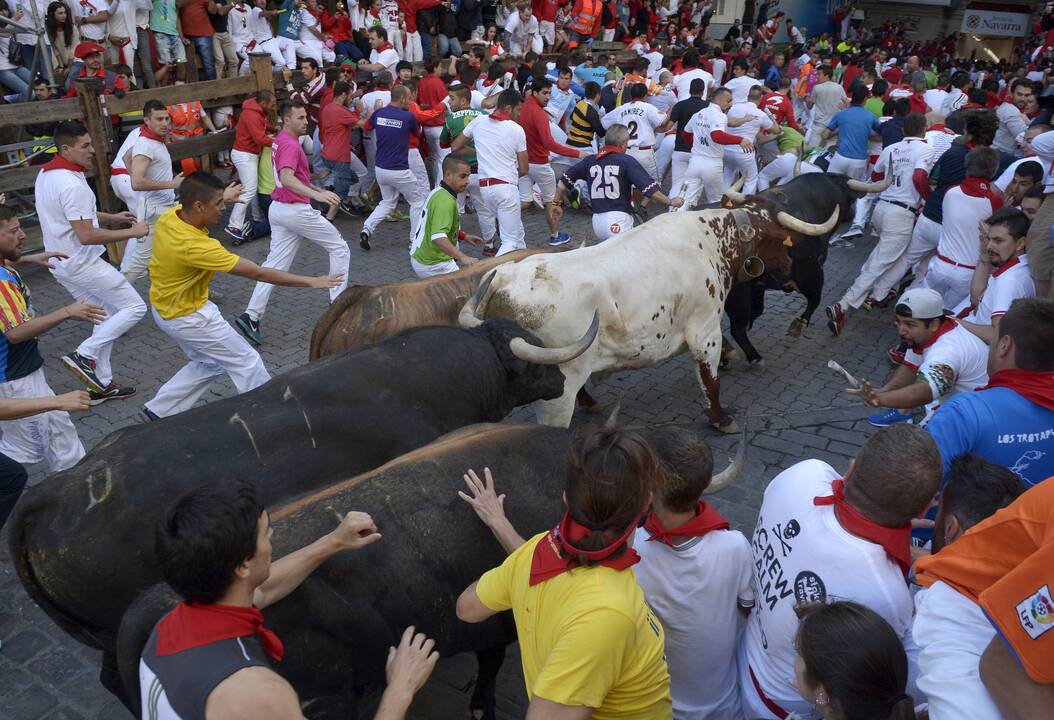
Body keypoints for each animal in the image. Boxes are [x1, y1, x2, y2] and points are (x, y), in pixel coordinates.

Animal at [457, 202, 834, 430]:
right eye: (781, 242)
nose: (789, 271)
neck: (710, 242)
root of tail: (504, 278)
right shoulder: (705, 330)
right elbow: (711, 383)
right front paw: (721, 419)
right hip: (555, 394)